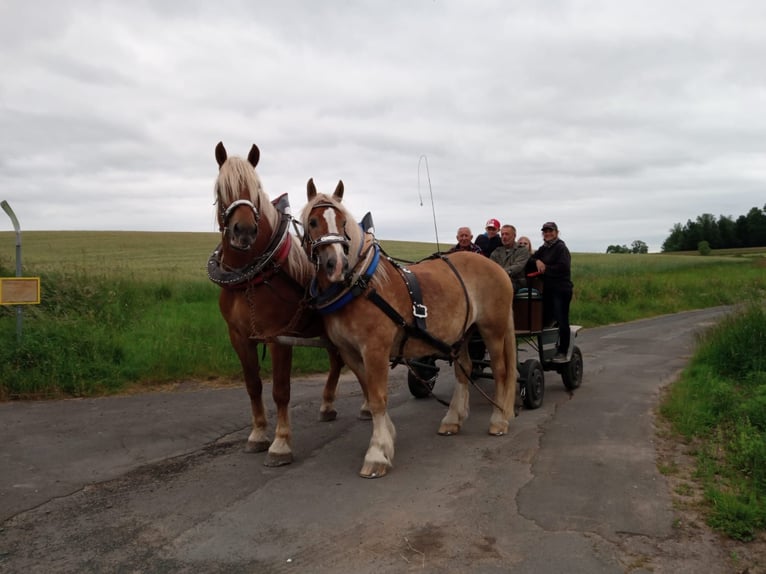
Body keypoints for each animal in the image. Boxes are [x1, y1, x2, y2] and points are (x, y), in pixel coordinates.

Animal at [208, 142, 344, 467]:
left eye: (256, 189)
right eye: (221, 189)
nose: (244, 231)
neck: (250, 277)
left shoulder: (278, 337)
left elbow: (281, 390)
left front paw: (281, 444)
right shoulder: (239, 337)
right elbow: (253, 385)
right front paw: (258, 434)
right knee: (337, 362)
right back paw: (327, 406)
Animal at [302, 179, 518, 478]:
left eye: (343, 221)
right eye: (312, 222)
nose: (337, 265)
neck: (360, 285)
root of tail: (496, 267)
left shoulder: (375, 350)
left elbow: (378, 398)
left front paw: (377, 453)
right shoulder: (350, 353)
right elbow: (370, 393)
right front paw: (388, 437)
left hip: (493, 329)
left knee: (500, 371)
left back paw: (499, 420)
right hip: (461, 334)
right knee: (465, 370)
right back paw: (453, 419)